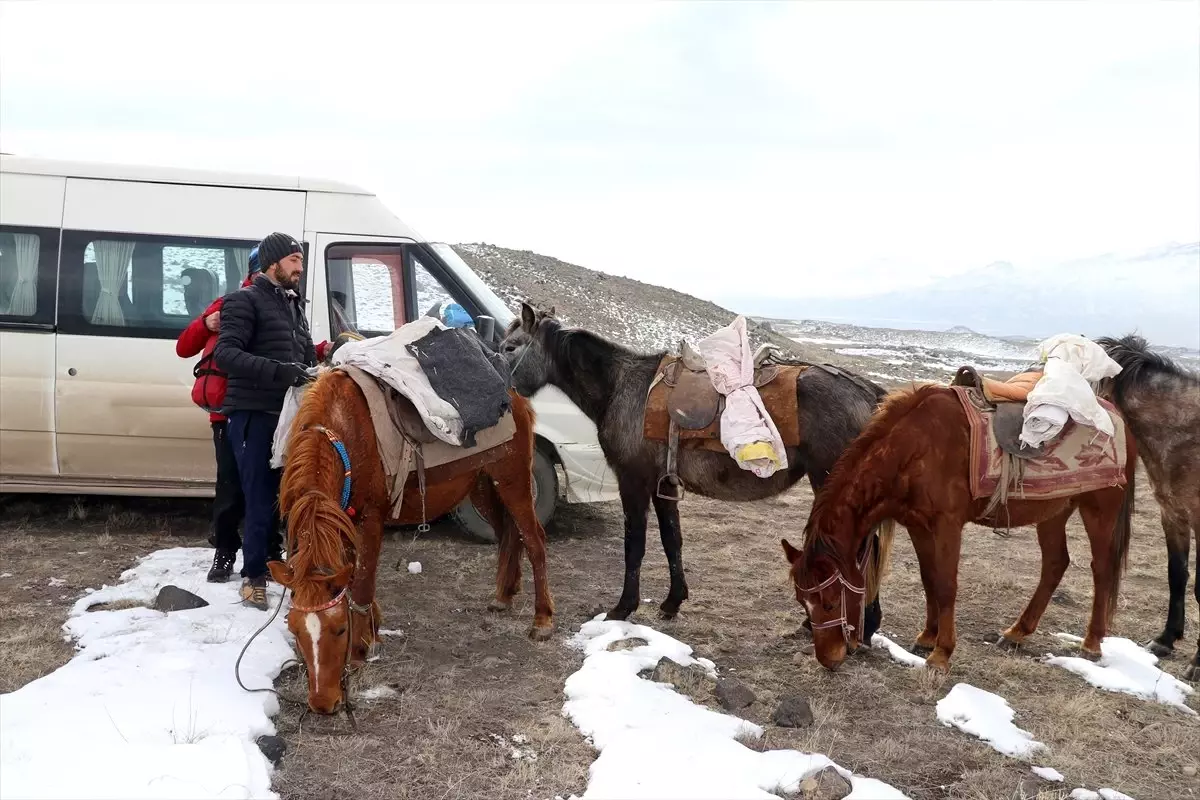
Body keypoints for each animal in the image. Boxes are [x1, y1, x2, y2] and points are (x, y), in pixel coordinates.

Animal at [268, 369, 552, 714]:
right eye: (294, 629)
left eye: (340, 629)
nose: (323, 703)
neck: (343, 433)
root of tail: (515, 397)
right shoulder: (341, 521)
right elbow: (353, 579)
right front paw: (373, 631)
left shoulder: (371, 519)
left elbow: (362, 584)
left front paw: (360, 651)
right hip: (483, 486)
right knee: (509, 536)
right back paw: (503, 596)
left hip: (513, 480)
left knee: (534, 540)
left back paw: (542, 620)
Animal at [787, 383, 1132, 671]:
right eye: (802, 602)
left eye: (831, 602)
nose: (829, 659)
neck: (914, 449)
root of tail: (1118, 418)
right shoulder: (917, 525)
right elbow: (929, 578)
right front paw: (928, 637)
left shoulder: (947, 525)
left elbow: (946, 586)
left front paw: (942, 653)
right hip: (1054, 511)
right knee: (1055, 563)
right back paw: (1017, 633)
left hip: (1099, 510)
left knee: (1102, 569)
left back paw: (1091, 643)